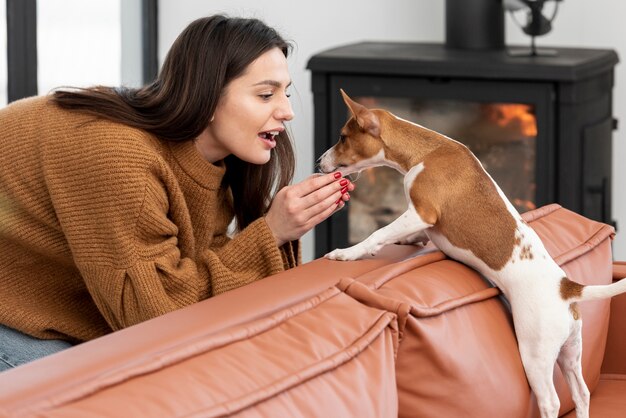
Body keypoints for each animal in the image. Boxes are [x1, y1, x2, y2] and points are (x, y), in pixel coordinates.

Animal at [320, 90, 620, 418]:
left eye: (342, 136)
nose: (319, 161)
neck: (425, 151)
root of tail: (567, 288)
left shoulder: (422, 212)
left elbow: (379, 234)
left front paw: (348, 253)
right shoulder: (421, 220)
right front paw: (411, 241)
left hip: (536, 354)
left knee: (551, 400)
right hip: (571, 352)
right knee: (581, 392)